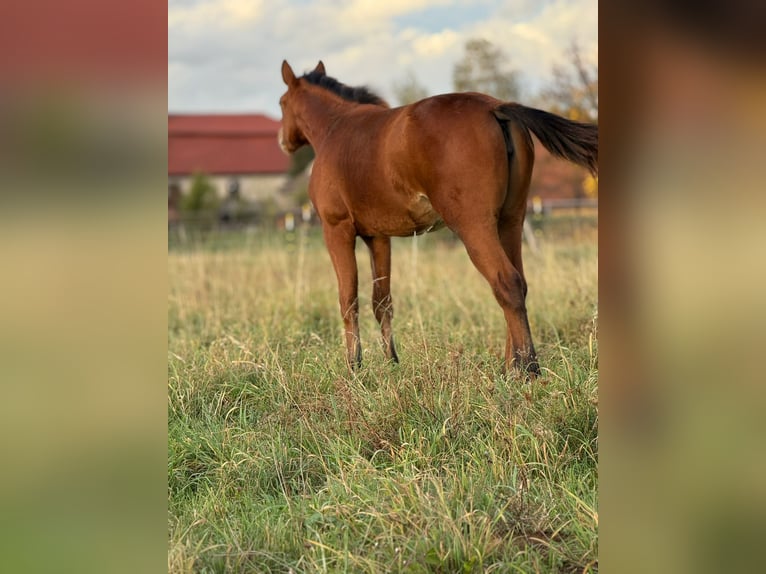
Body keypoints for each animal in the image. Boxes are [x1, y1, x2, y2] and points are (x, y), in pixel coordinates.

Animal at [278, 60, 598, 376]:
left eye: (282, 103)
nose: (282, 141)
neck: (336, 129)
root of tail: (496, 107)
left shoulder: (337, 230)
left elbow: (348, 299)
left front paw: (354, 367)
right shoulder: (378, 236)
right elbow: (382, 301)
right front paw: (392, 363)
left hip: (474, 225)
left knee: (507, 283)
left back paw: (527, 368)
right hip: (511, 221)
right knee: (520, 282)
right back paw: (511, 367)